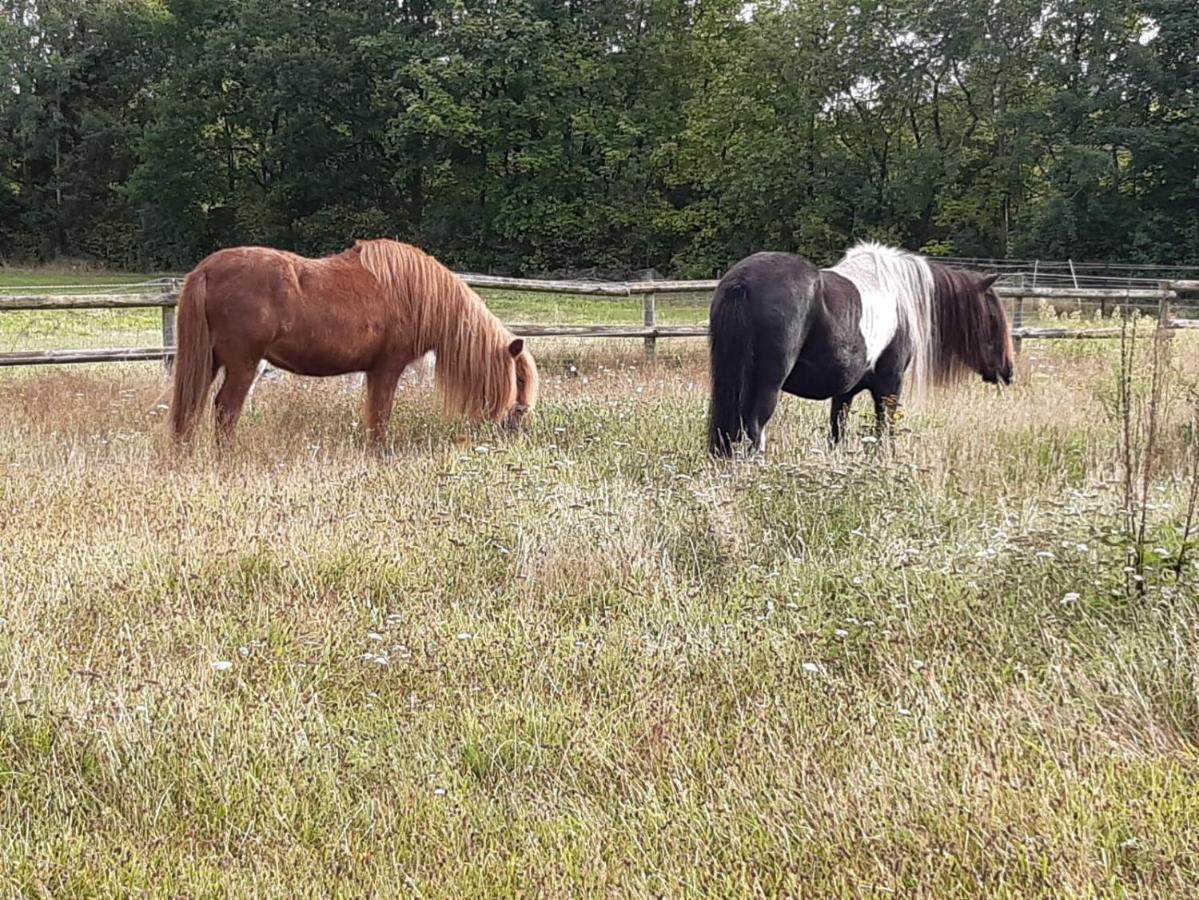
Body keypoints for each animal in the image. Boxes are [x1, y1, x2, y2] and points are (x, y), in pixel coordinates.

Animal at [169, 239, 539, 448]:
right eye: (519, 384)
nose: (515, 436)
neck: (417, 294)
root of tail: (206, 270)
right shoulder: (387, 368)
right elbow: (381, 415)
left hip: (210, 361)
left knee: (191, 406)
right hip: (243, 365)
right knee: (225, 409)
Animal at [705, 240, 1016, 457]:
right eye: (992, 317)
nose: (1008, 371)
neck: (899, 296)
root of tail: (743, 280)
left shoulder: (844, 392)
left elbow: (837, 432)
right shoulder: (889, 385)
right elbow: (885, 430)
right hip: (767, 386)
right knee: (755, 429)